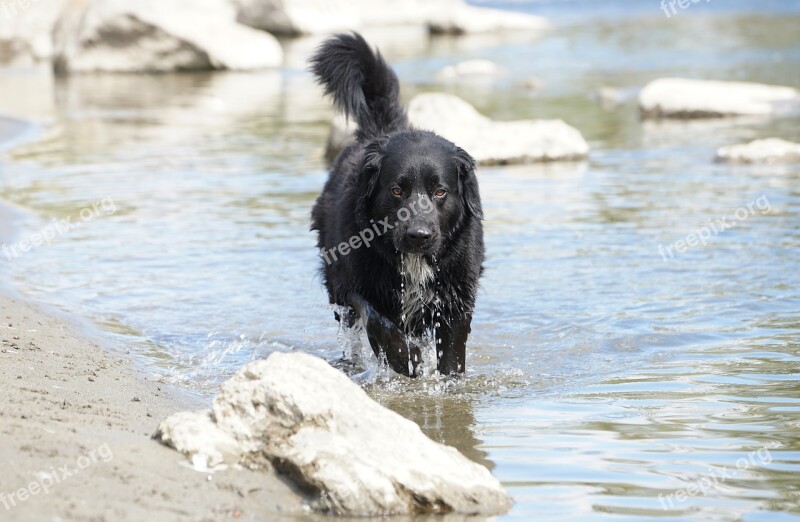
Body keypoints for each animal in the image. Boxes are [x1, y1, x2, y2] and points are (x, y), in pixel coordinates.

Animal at [310, 32, 484, 376]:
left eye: (440, 192)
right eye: (396, 190)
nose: (419, 236)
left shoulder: (456, 299)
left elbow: (452, 356)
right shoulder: (357, 285)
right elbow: (379, 322)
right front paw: (405, 360)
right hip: (336, 287)